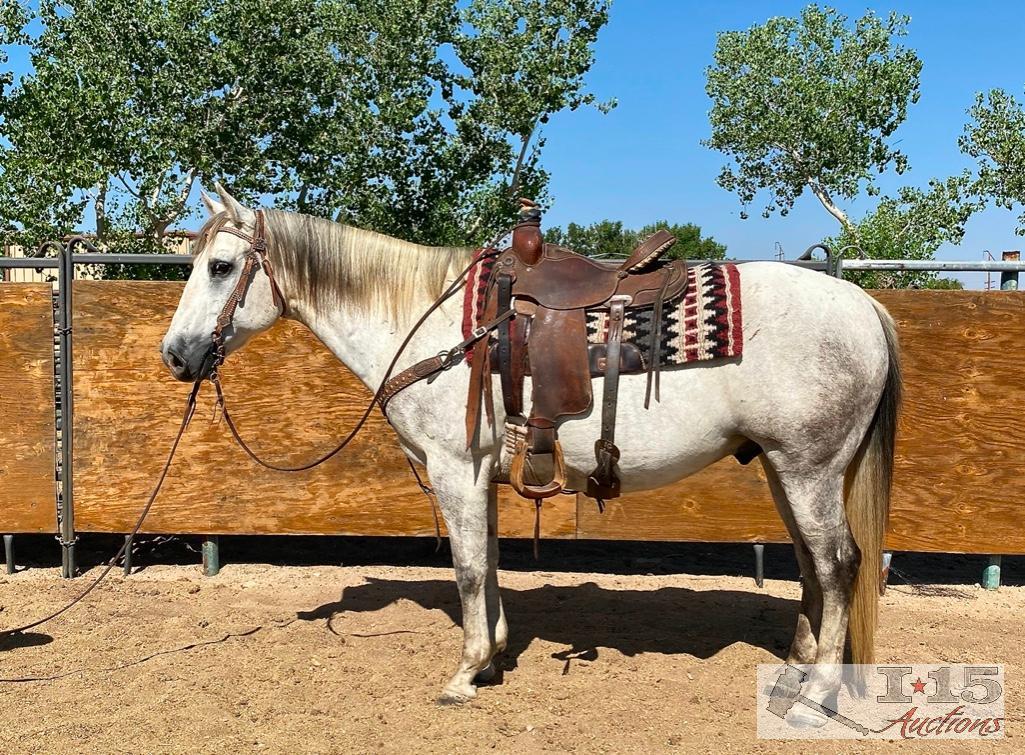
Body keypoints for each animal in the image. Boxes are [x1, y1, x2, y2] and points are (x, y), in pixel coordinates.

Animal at [157, 185, 897, 708]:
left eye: (220, 266)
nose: (175, 355)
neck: (431, 321)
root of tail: (861, 303)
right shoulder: (478, 471)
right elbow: (486, 563)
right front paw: (492, 657)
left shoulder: (455, 468)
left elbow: (465, 569)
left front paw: (463, 674)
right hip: (785, 468)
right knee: (811, 566)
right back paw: (797, 669)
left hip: (807, 468)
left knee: (838, 564)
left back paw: (816, 693)